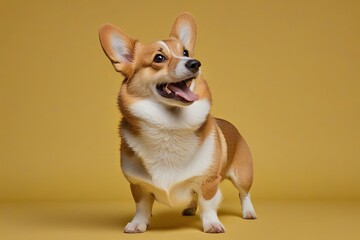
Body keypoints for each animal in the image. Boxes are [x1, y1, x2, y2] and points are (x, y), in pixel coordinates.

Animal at [98, 12, 256, 232]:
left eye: (186, 52)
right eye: (159, 58)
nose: (195, 63)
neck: (169, 126)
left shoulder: (208, 181)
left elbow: (207, 204)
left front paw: (212, 224)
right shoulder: (138, 186)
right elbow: (142, 206)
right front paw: (137, 224)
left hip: (243, 175)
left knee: (244, 194)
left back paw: (249, 212)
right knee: (193, 198)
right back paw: (189, 209)